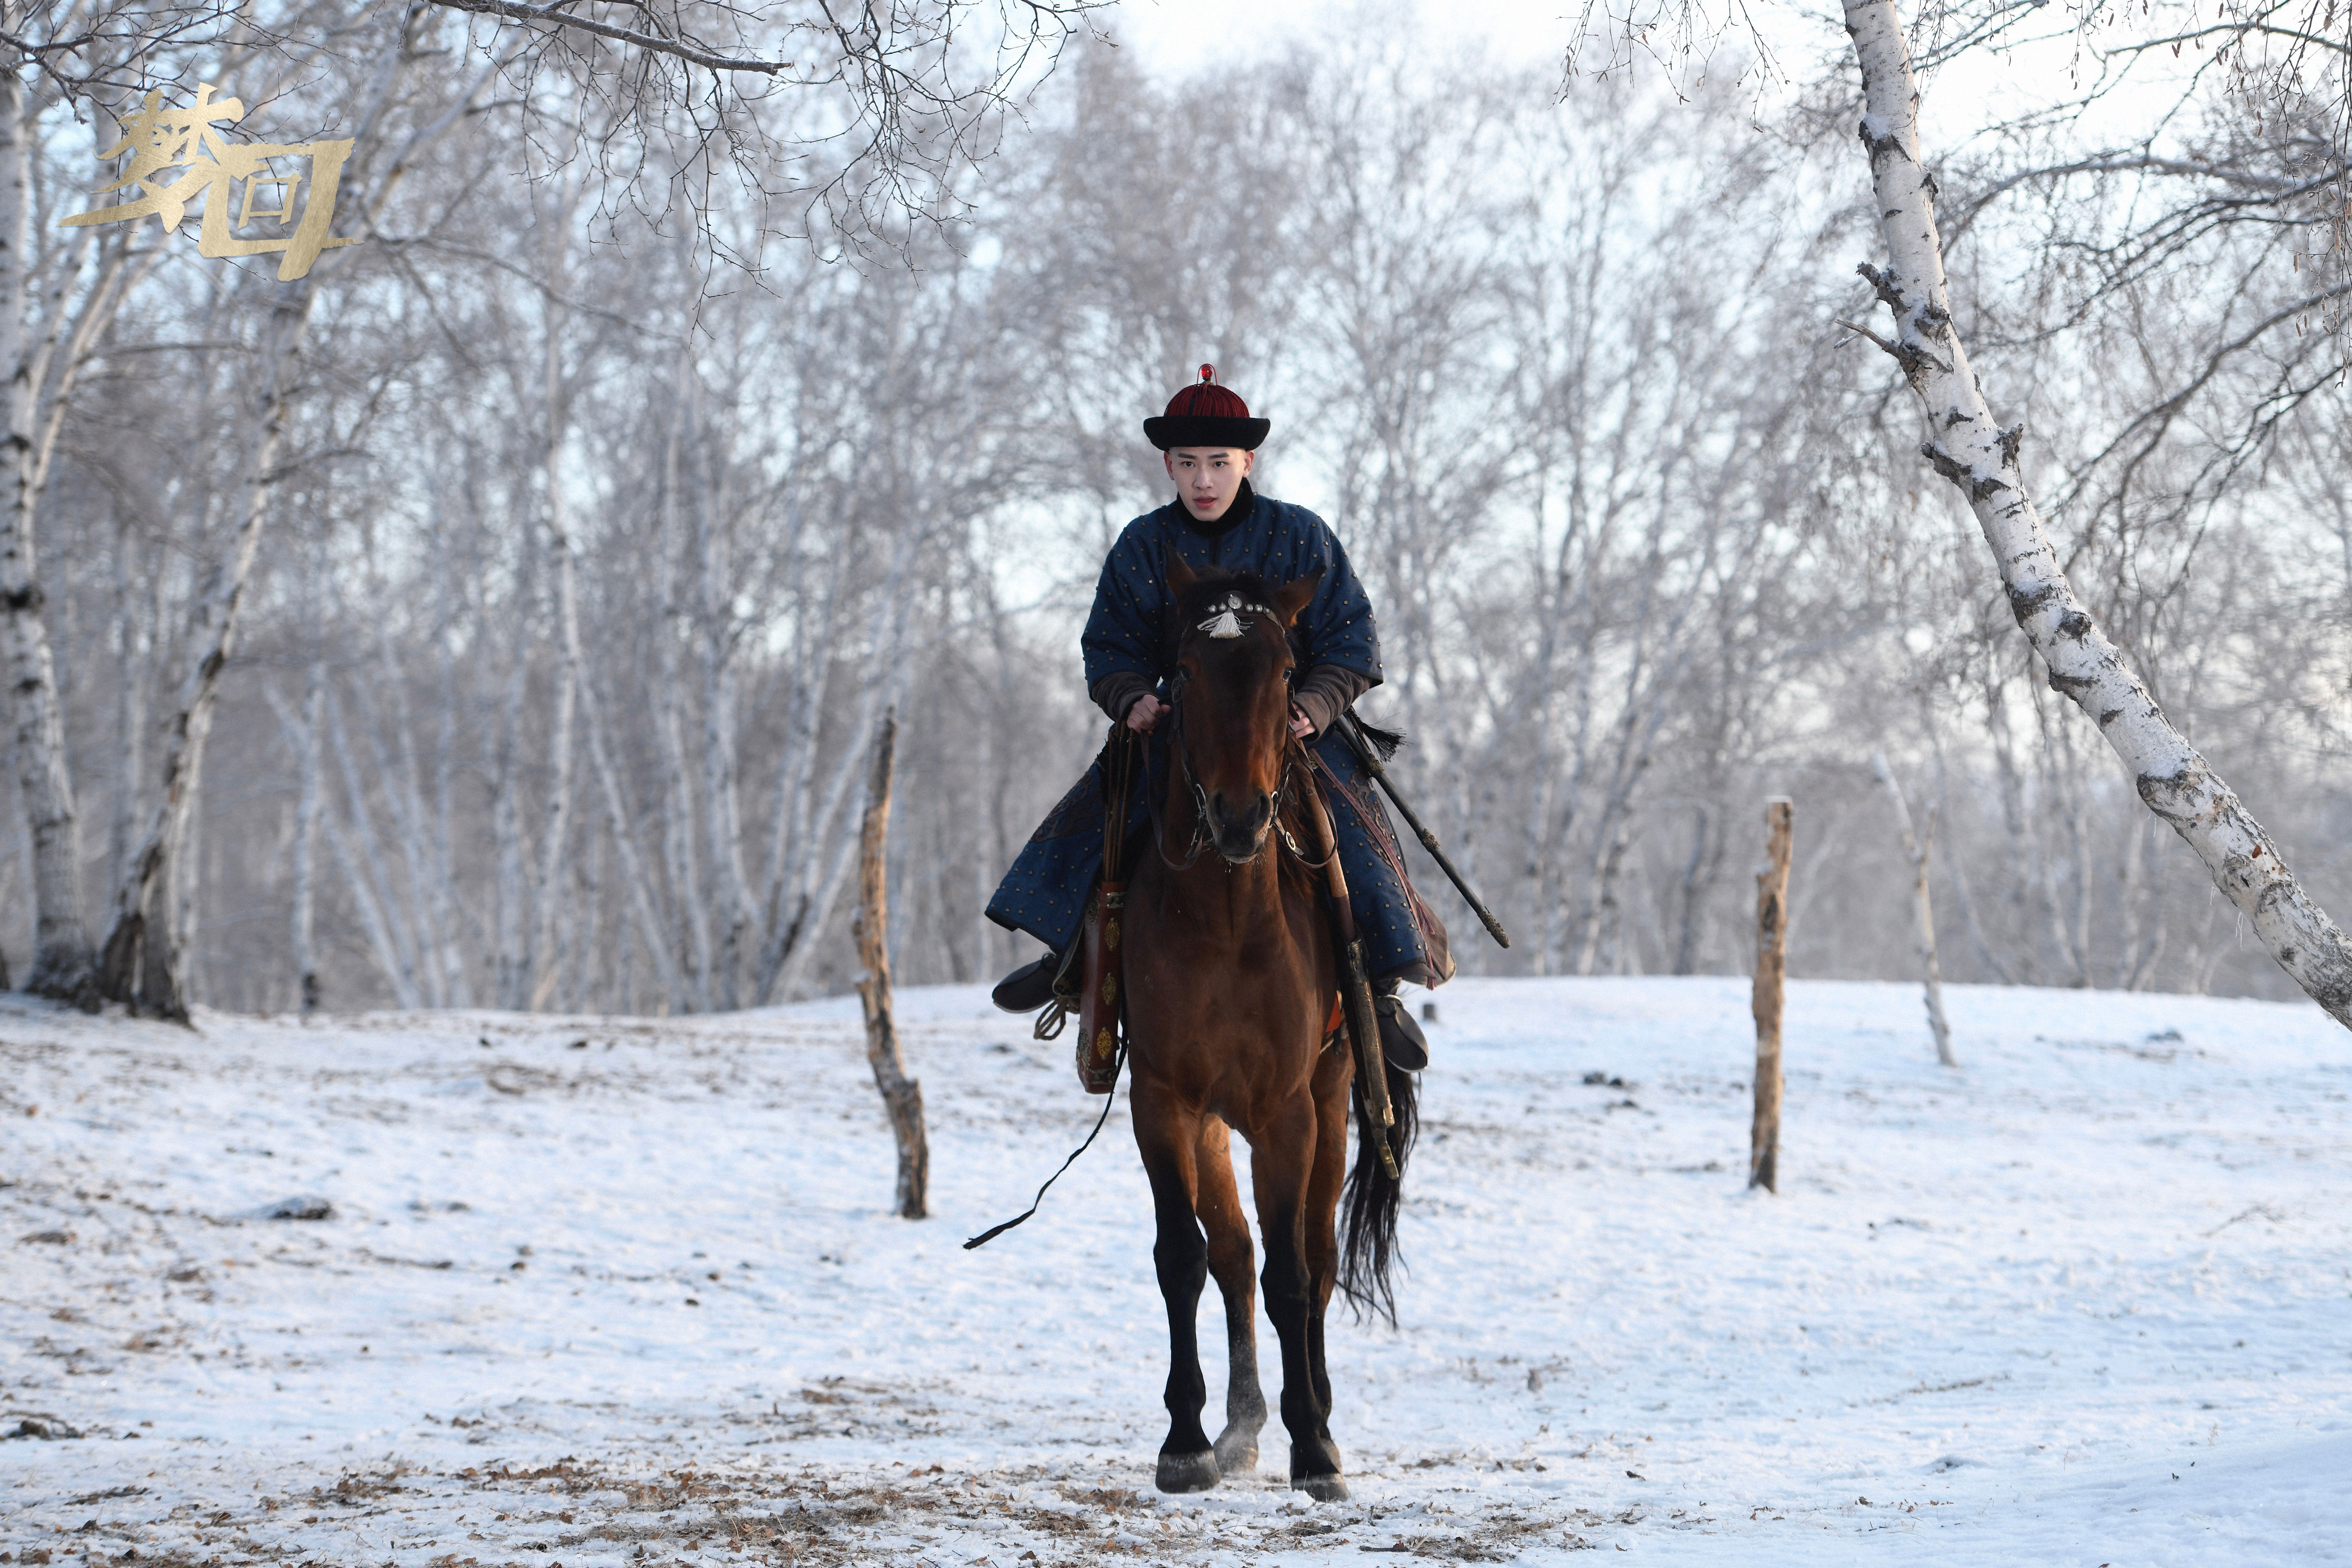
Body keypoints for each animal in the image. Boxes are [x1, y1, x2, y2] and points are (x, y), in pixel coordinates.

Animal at [1119, 561, 1411, 1504]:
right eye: (1183, 671)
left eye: (1287, 675)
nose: (1241, 815)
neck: (1224, 921)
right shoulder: (1163, 1102)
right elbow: (1183, 1256)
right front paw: (1183, 1440)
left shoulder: (1288, 1110)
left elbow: (1294, 1275)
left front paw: (1313, 1445)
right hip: (1217, 1122)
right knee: (1233, 1253)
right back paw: (1241, 1426)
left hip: (1330, 1099)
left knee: (1311, 1260)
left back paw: (1311, 1416)